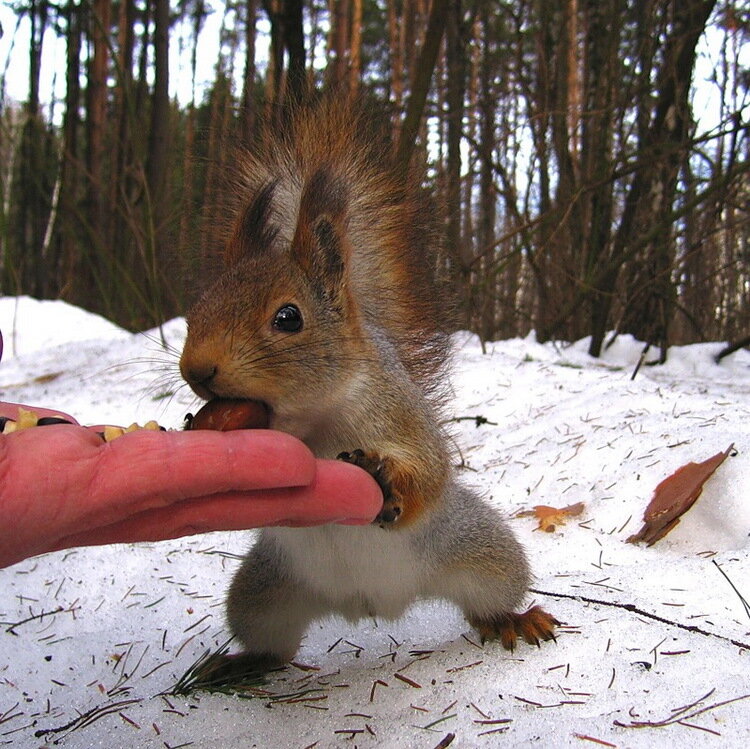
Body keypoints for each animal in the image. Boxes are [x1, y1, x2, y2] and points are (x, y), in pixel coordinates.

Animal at [181, 93, 560, 676]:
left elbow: (428, 472)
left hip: (482, 551)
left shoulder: (395, 412)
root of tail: (374, 605)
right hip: (263, 592)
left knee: (491, 595)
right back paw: (240, 665)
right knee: (272, 643)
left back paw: (512, 620)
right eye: (196, 308)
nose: (196, 371)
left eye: (289, 317)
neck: (312, 420)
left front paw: (385, 474)